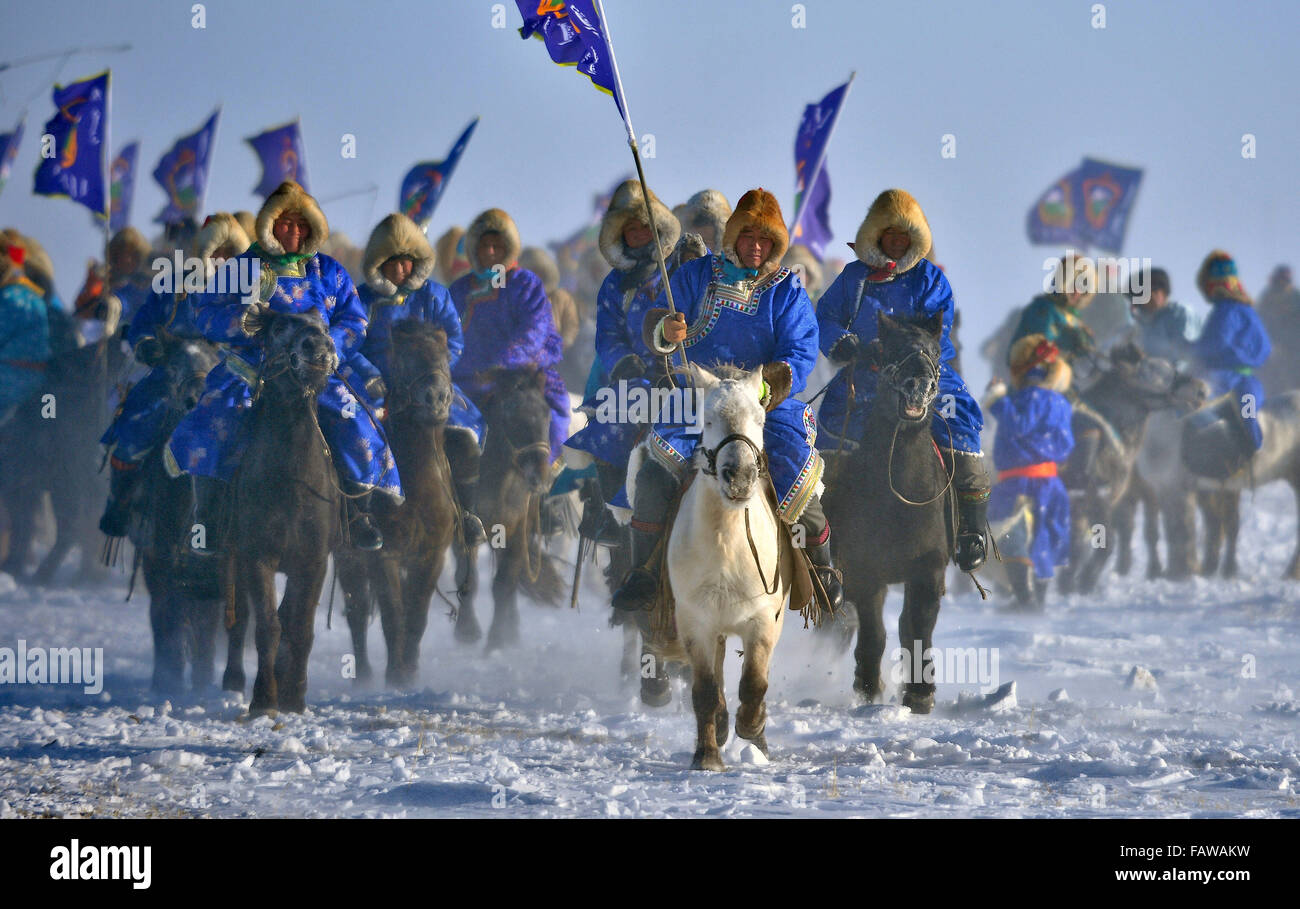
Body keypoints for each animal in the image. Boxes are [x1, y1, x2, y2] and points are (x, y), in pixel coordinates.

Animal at [224, 313, 343, 717]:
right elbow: (268, 626)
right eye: (278, 327)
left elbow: (300, 627)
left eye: (325, 325)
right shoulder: (257, 556)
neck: (293, 482)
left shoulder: (313, 561)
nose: (318, 348)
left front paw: (295, 697)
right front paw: (264, 699)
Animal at [626, 364, 795, 775]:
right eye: (706, 419)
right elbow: (704, 690)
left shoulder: (763, 621)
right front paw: (707, 756)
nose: (740, 476)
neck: (728, 546)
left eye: (760, 418)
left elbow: (754, 684)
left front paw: (752, 731)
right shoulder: (696, 622)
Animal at [826, 313, 951, 717]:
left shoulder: (928, 567)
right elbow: (874, 632)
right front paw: (867, 688)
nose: (919, 383)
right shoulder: (865, 572)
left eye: (935, 351)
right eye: (891, 349)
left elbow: (918, 625)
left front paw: (920, 693)